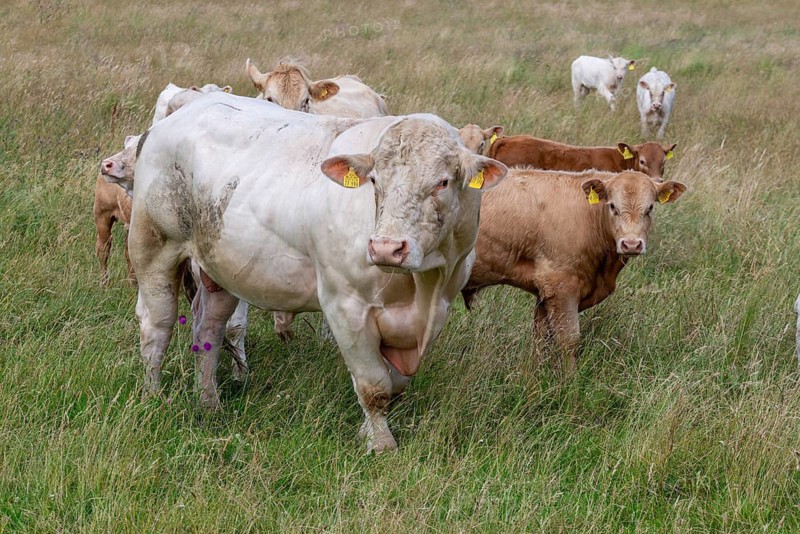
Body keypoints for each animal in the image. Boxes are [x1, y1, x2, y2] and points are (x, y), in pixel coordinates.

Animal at [129, 93, 507, 452]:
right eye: (374, 180)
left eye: (443, 182)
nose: (386, 248)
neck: (422, 286)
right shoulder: (345, 305)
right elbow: (374, 385)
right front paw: (381, 444)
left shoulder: (439, 307)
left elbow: (396, 381)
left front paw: (368, 431)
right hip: (153, 248)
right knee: (157, 326)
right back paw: (153, 396)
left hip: (219, 271)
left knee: (208, 329)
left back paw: (209, 401)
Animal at [461, 169, 686, 372]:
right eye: (613, 206)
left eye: (650, 208)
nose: (631, 244)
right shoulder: (560, 285)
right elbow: (569, 341)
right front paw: (570, 381)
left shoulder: (544, 294)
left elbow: (541, 338)